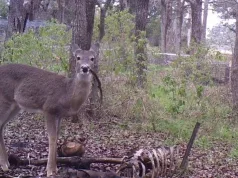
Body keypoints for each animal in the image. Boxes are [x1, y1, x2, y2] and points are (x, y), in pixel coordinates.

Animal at [0, 43, 100, 177]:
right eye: (78, 57)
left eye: (92, 58)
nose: (85, 68)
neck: (67, 93)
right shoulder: (49, 108)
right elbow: (51, 137)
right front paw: (50, 170)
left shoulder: (60, 114)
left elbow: (57, 136)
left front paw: (56, 168)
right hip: (4, 100)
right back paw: (4, 165)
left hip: (16, 106)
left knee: (1, 126)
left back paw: (7, 163)